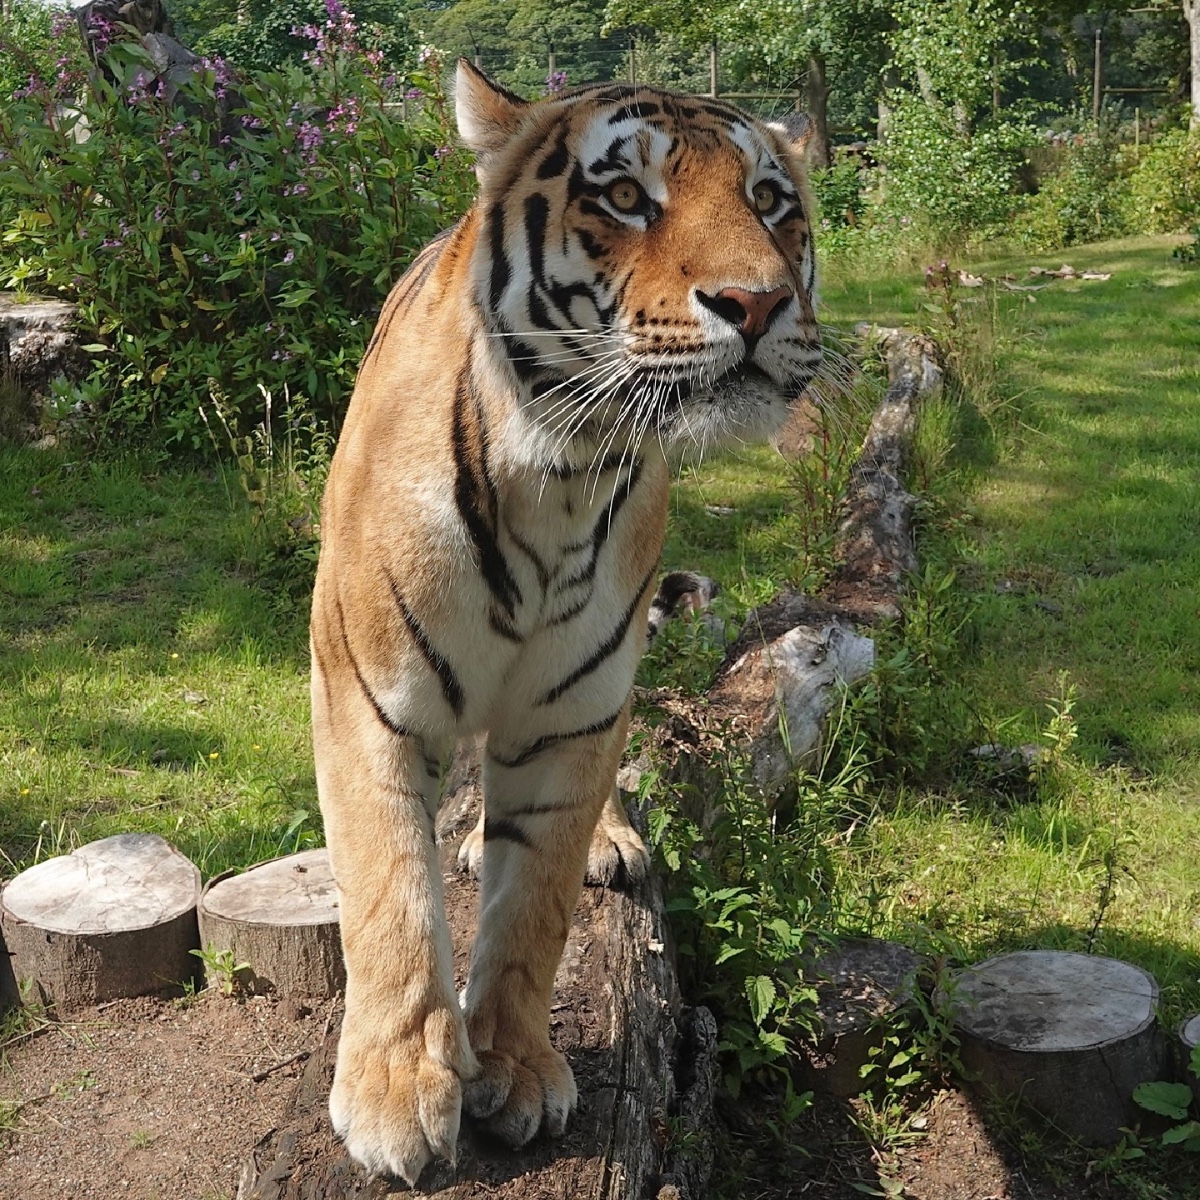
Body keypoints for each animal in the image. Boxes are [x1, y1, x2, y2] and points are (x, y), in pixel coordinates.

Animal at [307, 63, 825, 1180]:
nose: (759, 301)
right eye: (626, 197)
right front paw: (393, 1093)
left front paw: (514, 1067)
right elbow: (388, 891)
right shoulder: (369, 698)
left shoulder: (572, 713)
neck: (563, 467)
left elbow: (535, 905)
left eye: (769, 200)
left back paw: (612, 840)